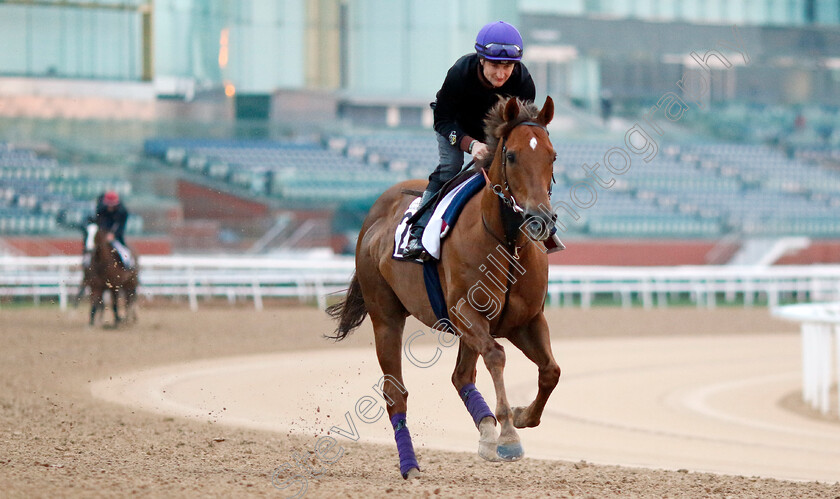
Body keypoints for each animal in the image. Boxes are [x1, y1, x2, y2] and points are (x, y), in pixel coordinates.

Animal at [332, 96, 560, 480]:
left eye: (552, 155)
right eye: (512, 155)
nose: (540, 220)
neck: (507, 243)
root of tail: (372, 217)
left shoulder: (525, 320)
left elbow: (550, 372)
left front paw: (520, 416)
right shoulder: (466, 313)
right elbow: (497, 356)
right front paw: (508, 435)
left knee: (460, 375)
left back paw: (485, 432)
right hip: (386, 317)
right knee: (395, 393)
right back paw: (410, 466)